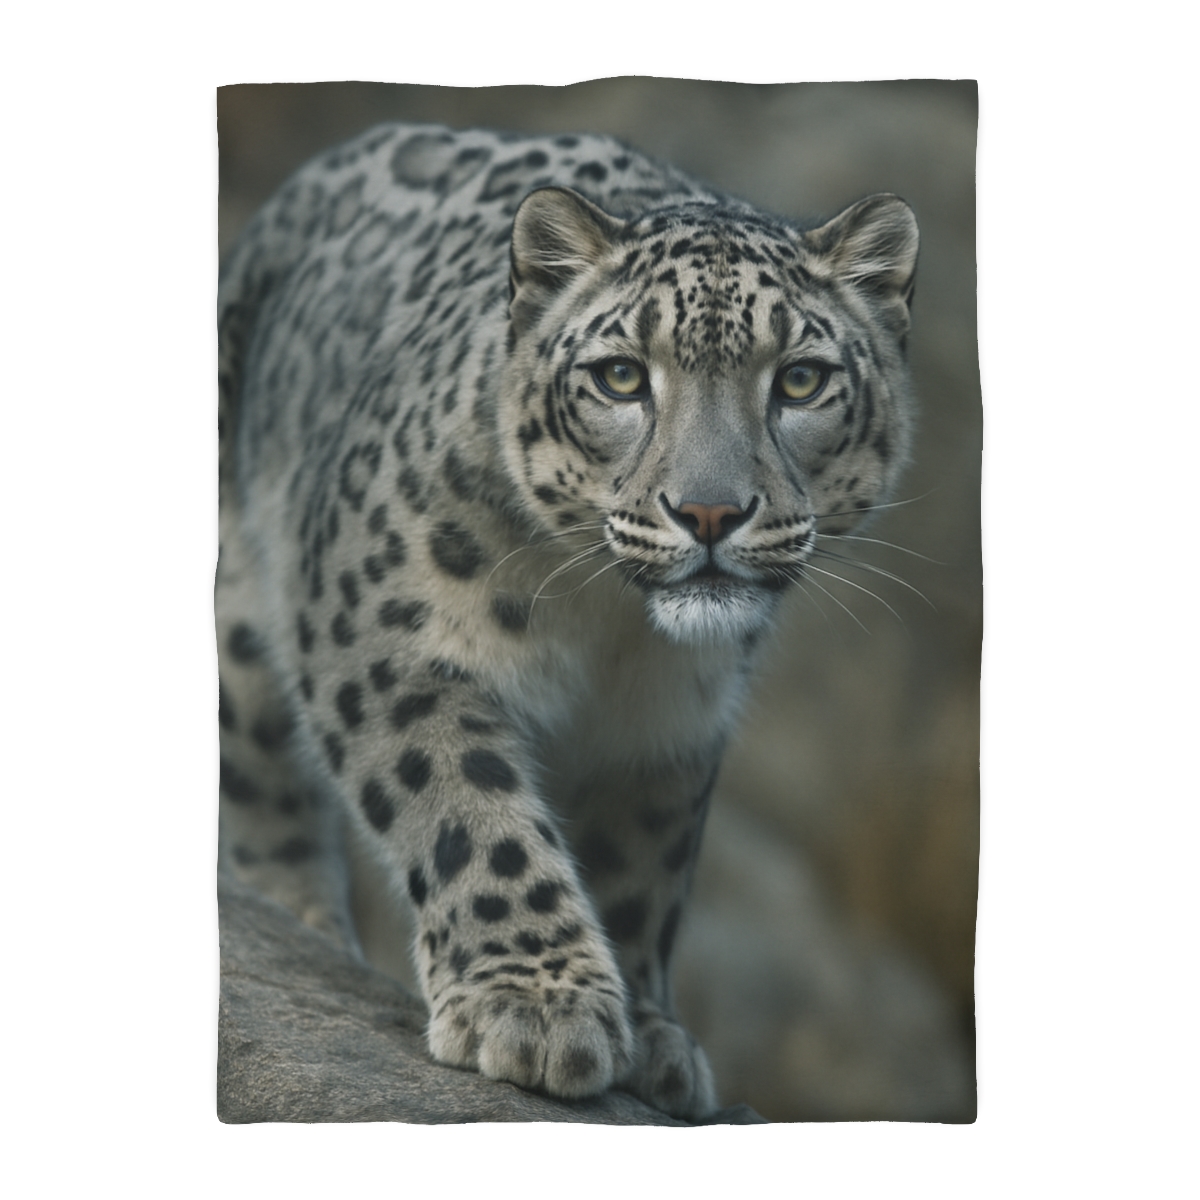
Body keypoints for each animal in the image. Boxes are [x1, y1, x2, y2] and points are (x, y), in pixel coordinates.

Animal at [217, 120, 919, 1121]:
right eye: (621, 376)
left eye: (801, 380)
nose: (709, 512)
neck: (610, 629)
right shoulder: (389, 637)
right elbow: (467, 809)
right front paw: (537, 1008)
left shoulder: (668, 726)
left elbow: (641, 865)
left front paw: (654, 1035)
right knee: (262, 788)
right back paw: (304, 929)